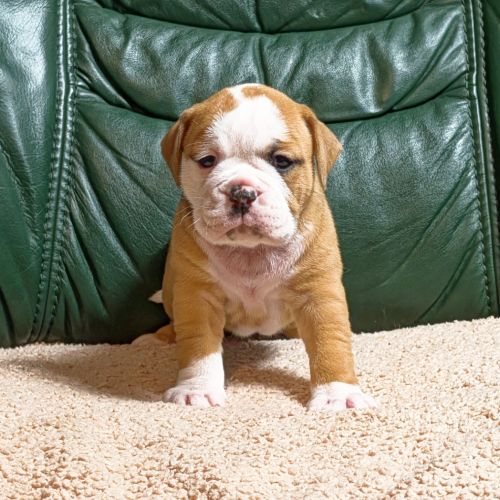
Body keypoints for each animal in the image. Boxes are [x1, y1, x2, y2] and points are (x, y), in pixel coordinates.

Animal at [133, 84, 377, 412]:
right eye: (207, 160)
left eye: (282, 161)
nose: (242, 192)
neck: (252, 251)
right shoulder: (197, 296)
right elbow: (198, 346)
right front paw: (196, 389)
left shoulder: (319, 294)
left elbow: (330, 342)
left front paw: (338, 393)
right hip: (174, 289)